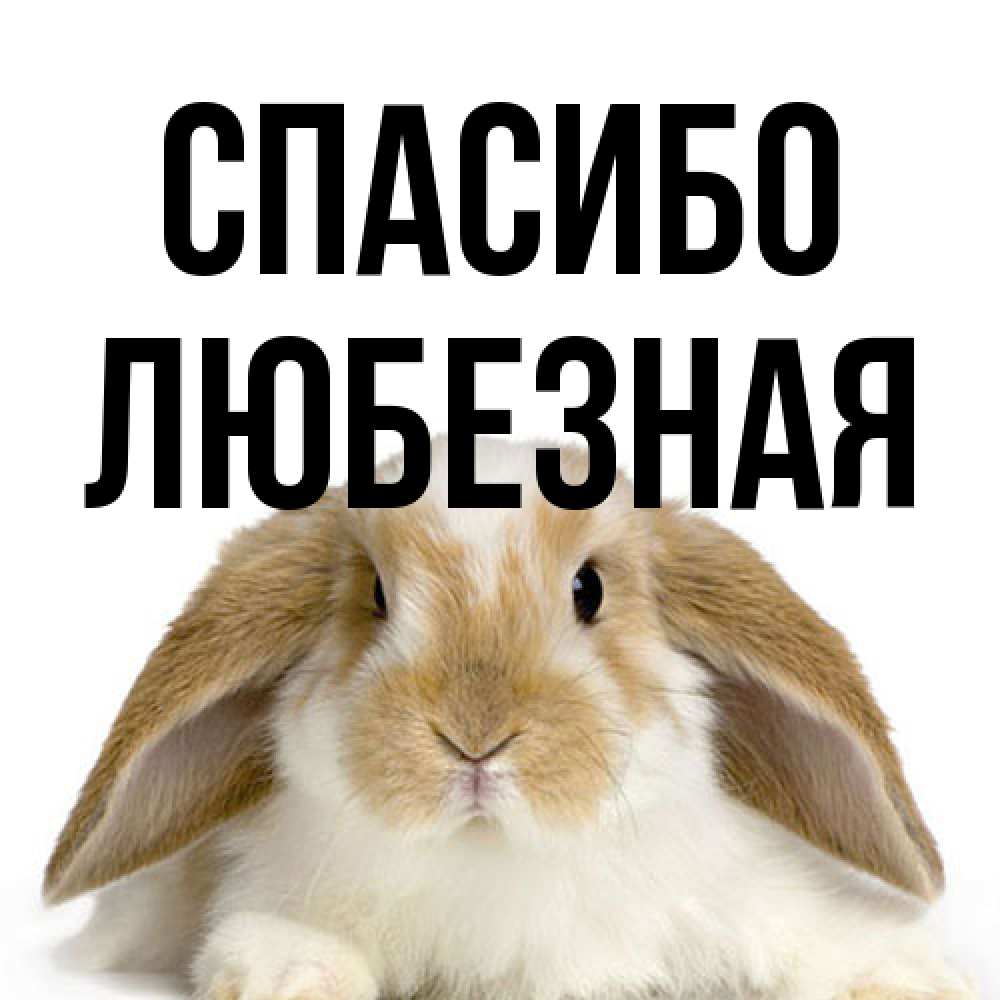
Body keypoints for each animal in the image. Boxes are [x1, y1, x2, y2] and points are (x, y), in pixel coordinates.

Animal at [45, 437, 975, 1000]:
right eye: (375, 596)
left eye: (589, 589)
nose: (475, 737)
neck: (495, 857)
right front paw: (290, 977)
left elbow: (818, 940)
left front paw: (909, 978)